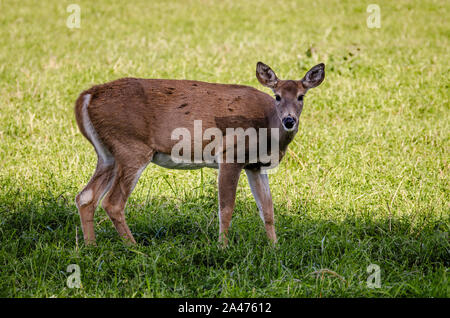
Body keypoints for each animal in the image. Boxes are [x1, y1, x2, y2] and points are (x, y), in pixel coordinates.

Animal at [75, 61, 326, 246]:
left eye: (301, 96)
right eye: (277, 96)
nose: (289, 120)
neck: (266, 126)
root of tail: (86, 97)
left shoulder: (255, 166)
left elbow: (268, 210)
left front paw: (274, 248)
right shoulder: (230, 155)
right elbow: (226, 208)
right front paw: (223, 247)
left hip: (108, 154)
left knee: (86, 197)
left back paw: (91, 247)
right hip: (131, 147)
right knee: (112, 202)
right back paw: (134, 248)